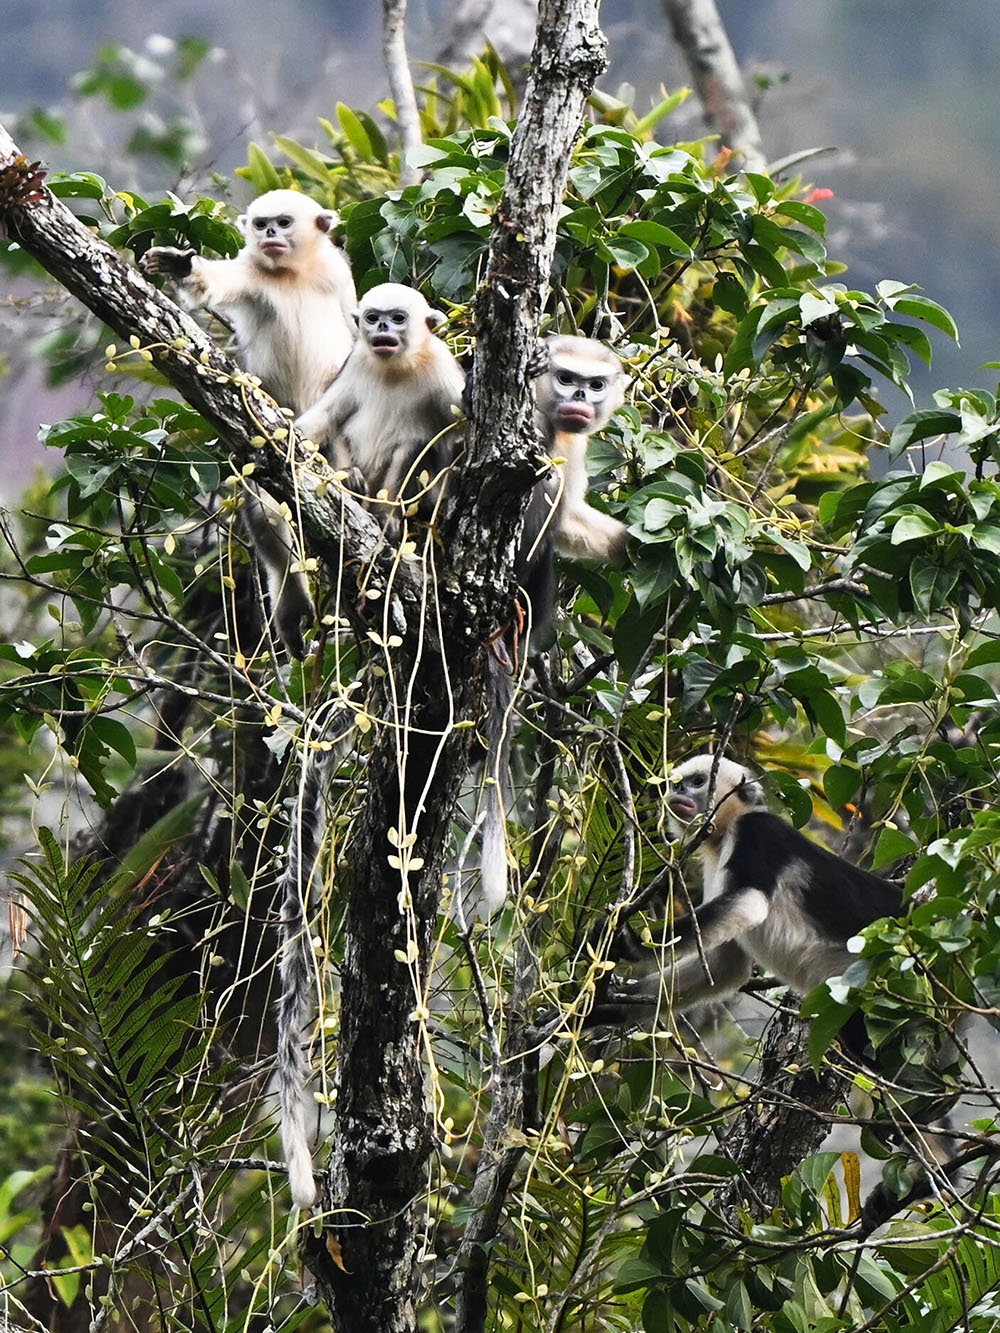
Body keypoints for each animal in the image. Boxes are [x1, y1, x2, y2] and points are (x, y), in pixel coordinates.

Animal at [141, 189, 357, 656]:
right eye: (261, 225)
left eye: (283, 222)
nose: (270, 233)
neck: (294, 274)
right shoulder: (251, 273)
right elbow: (212, 282)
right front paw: (180, 264)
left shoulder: (338, 274)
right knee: (268, 514)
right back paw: (292, 604)